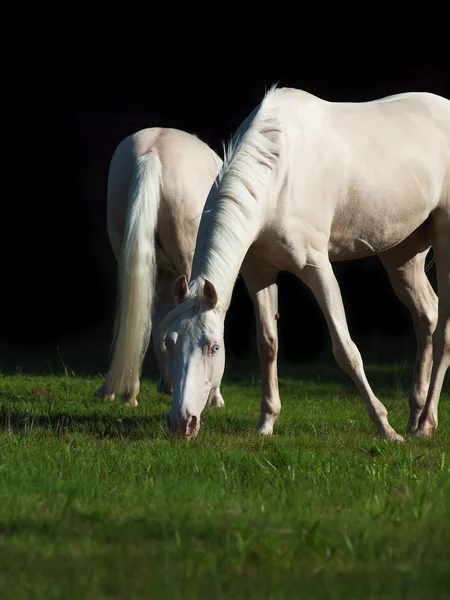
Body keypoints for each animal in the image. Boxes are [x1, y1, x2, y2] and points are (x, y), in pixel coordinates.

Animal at [160, 83, 448, 440]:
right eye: (169, 343)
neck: (278, 176)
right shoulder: (259, 273)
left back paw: (426, 423)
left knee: (443, 330)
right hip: (402, 254)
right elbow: (268, 344)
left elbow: (345, 349)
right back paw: (416, 416)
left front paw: (385, 427)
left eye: (214, 347)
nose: (180, 422)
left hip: (443, 240)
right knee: (427, 316)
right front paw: (266, 423)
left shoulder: (317, 268)